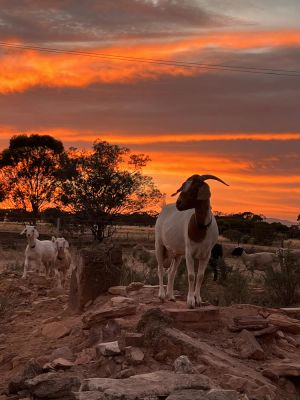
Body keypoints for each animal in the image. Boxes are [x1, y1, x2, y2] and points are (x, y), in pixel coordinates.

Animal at [156, 173, 229, 308]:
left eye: (194, 188)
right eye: (183, 186)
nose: (178, 203)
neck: (201, 227)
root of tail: (164, 208)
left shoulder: (206, 254)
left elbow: (200, 276)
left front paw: (198, 299)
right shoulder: (189, 253)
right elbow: (191, 276)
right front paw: (190, 301)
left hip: (177, 254)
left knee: (171, 272)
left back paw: (171, 296)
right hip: (159, 245)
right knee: (160, 270)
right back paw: (162, 296)